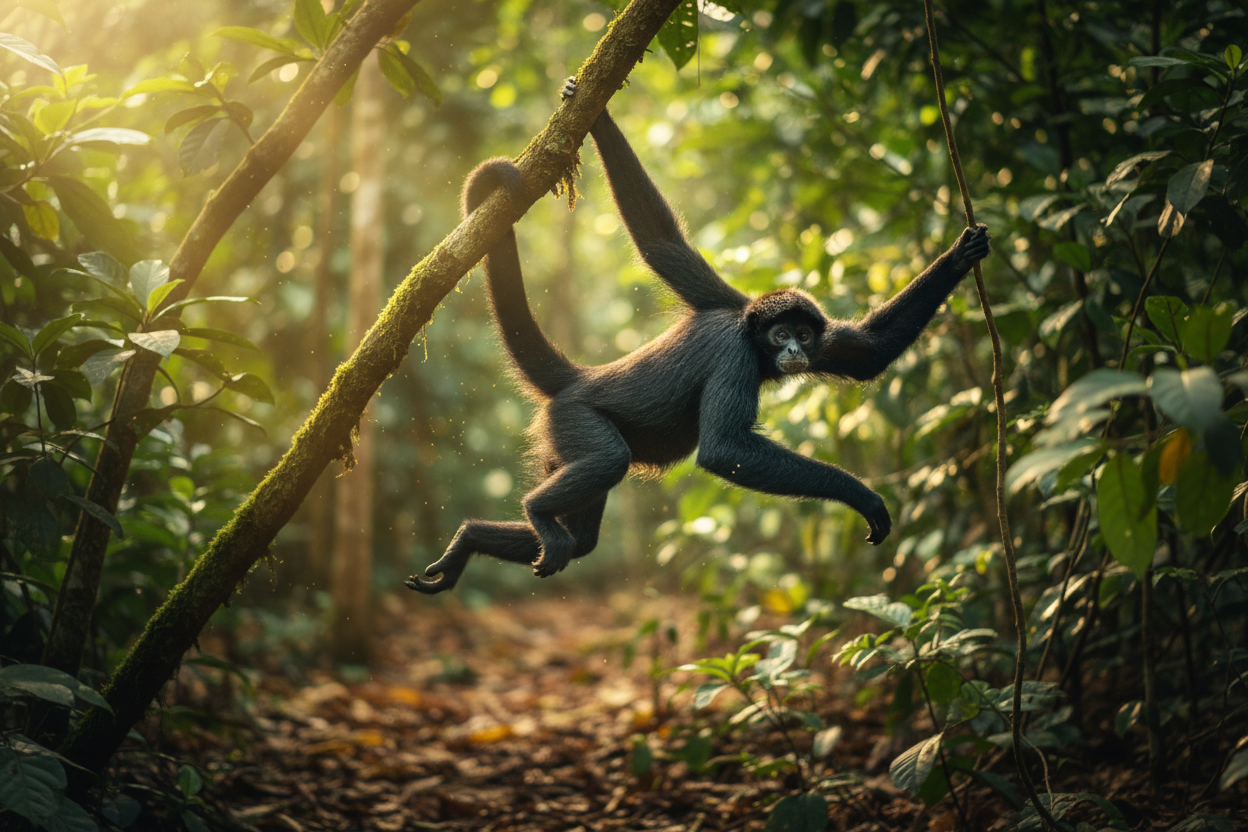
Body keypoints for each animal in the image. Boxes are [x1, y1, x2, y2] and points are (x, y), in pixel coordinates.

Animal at [405, 78, 991, 594]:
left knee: (583, 538)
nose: (795, 350)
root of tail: (580, 379)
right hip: (575, 421)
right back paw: (535, 513)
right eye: (781, 335)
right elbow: (723, 450)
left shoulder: (732, 301)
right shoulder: (737, 351)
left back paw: (469, 541)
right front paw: (862, 497)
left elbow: (866, 352)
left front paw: (963, 254)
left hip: (557, 443)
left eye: (803, 334)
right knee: (607, 462)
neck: (748, 330)